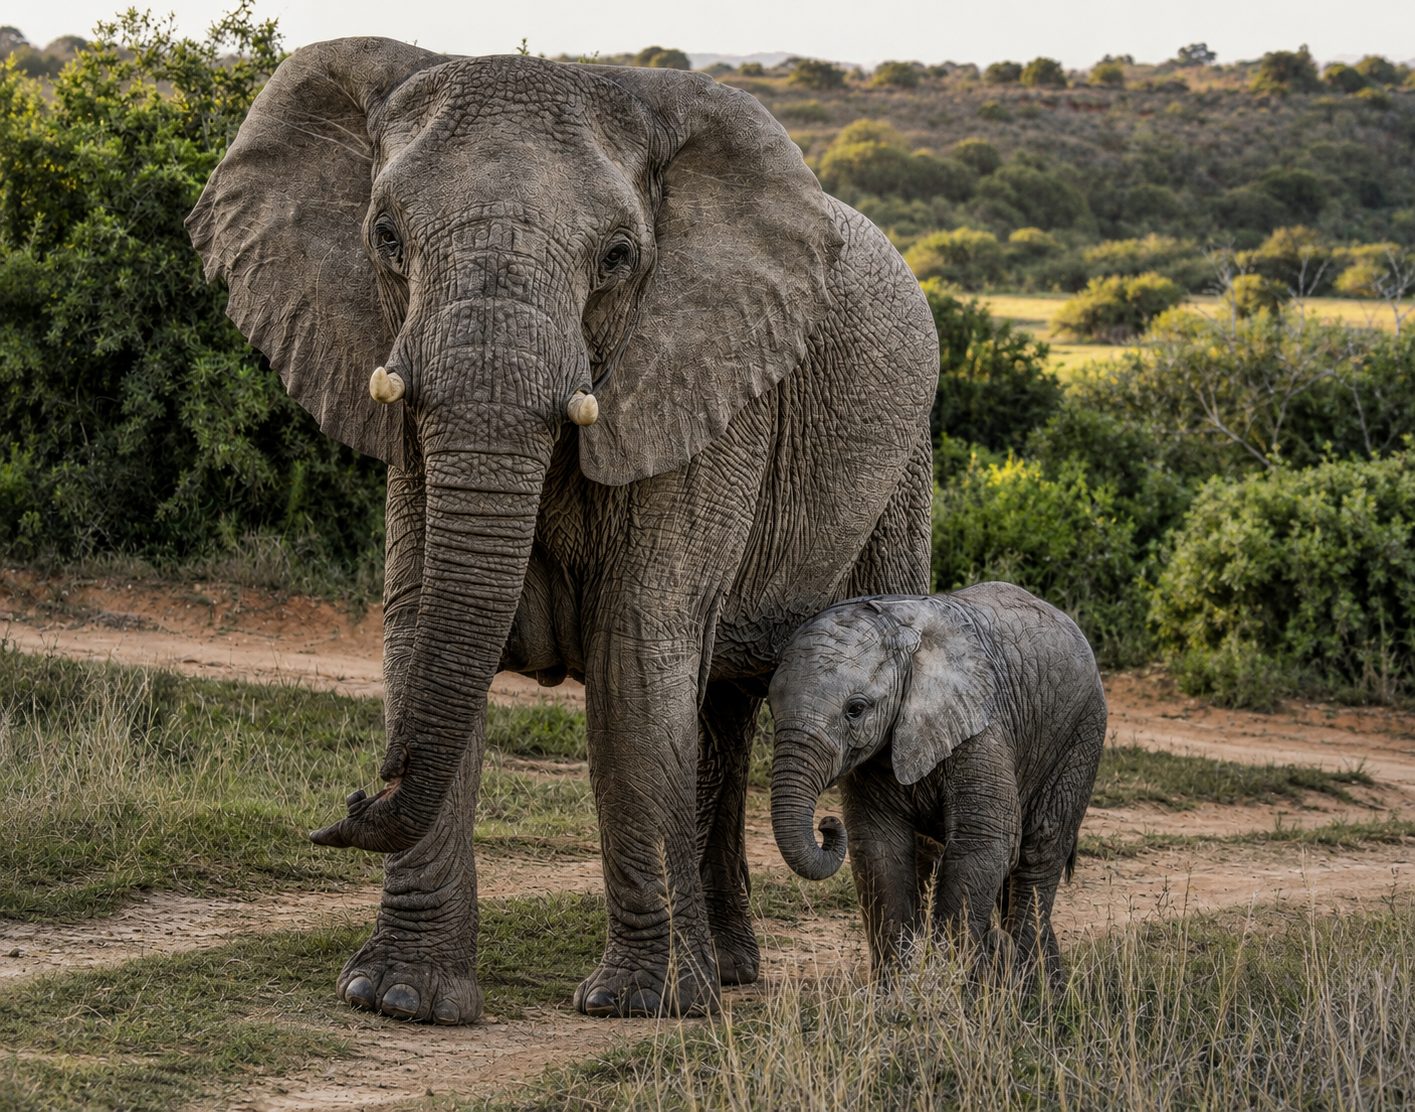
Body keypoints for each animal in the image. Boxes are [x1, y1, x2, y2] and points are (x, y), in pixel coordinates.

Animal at [187, 39, 938, 1023]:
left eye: (618, 257)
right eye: (385, 237)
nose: (349, 798)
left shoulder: (705, 387)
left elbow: (632, 658)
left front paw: (641, 1007)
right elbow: (423, 628)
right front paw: (397, 998)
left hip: (905, 464)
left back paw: (893, 986)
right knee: (718, 714)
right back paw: (733, 972)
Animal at [767, 582, 1106, 981]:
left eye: (855, 709)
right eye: (770, 705)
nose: (826, 825)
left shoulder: (982, 729)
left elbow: (984, 842)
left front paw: (944, 986)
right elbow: (880, 847)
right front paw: (897, 987)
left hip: (1081, 734)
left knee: (1038, 854)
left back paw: (1028, 985)